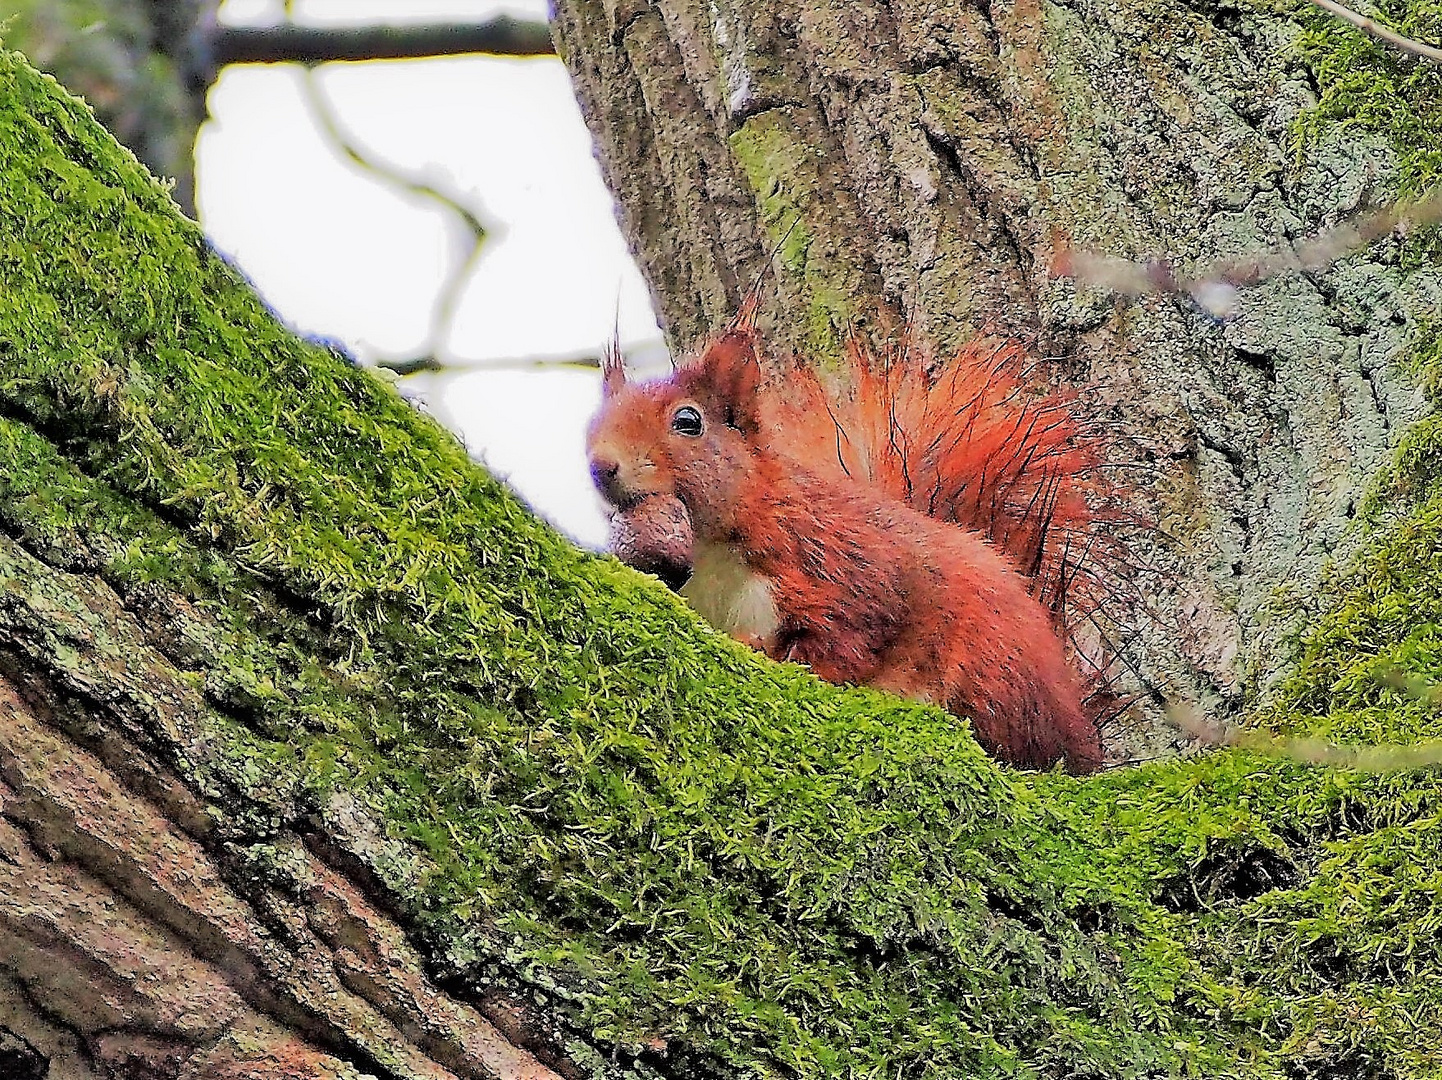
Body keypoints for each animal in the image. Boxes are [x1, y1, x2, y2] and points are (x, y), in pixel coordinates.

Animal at [591, 315, 1107, 772]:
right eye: (595, 422)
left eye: (688, 421)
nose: (600, 466)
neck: (712, 554)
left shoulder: (843, 566)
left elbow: (848, 640)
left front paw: (775, 653)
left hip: (993, 670)